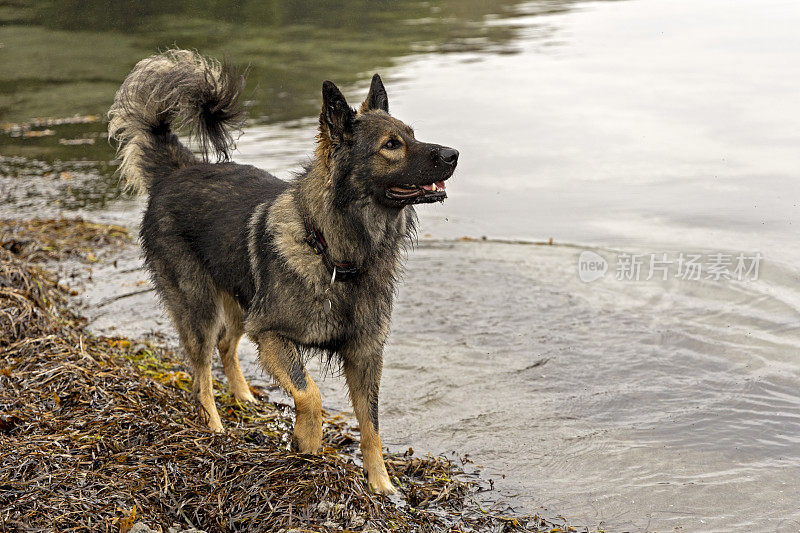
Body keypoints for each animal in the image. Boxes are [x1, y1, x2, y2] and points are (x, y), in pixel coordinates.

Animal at [107, 51, 456, 494]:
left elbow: (371, 425)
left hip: (241, 302)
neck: (334, 253)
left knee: (226, 345)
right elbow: (310, 394)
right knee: (201, 372)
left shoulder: (365, 354)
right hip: (201, 306)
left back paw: (244, 398)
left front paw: (381, 485)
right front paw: (307, 441)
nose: (454, 155)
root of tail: (178, 170)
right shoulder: (273, 333)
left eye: (412, 134)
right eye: (391, 145)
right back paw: (215, 428)